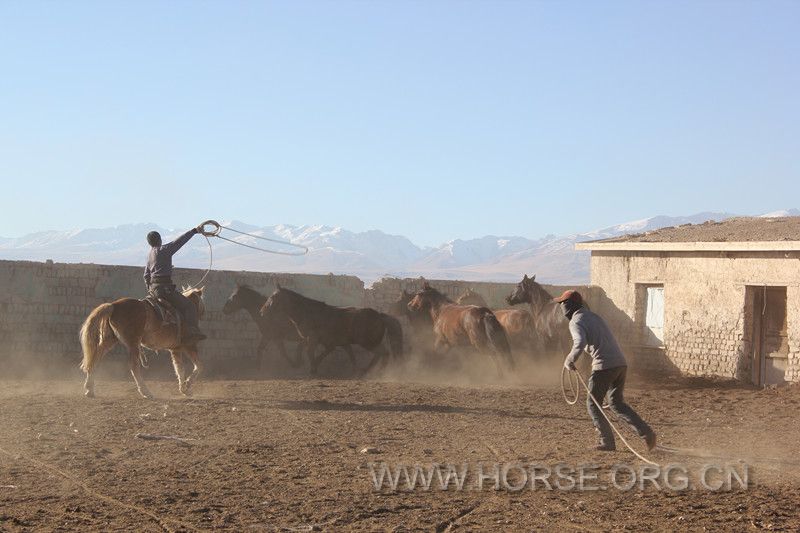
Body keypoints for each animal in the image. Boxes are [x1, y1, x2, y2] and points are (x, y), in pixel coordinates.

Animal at [260, 286, 404, 374]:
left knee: (383, 353)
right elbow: (307, 349)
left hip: (368, 343)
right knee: (381, 354)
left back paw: (374, 371)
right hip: (370, 343)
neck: (308, 313)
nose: (262, 312)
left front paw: (313, 369)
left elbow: (310, 352)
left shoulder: (314, 339)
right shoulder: (321, 341)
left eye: (272, 297)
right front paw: (301, 364)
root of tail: (379, 315)